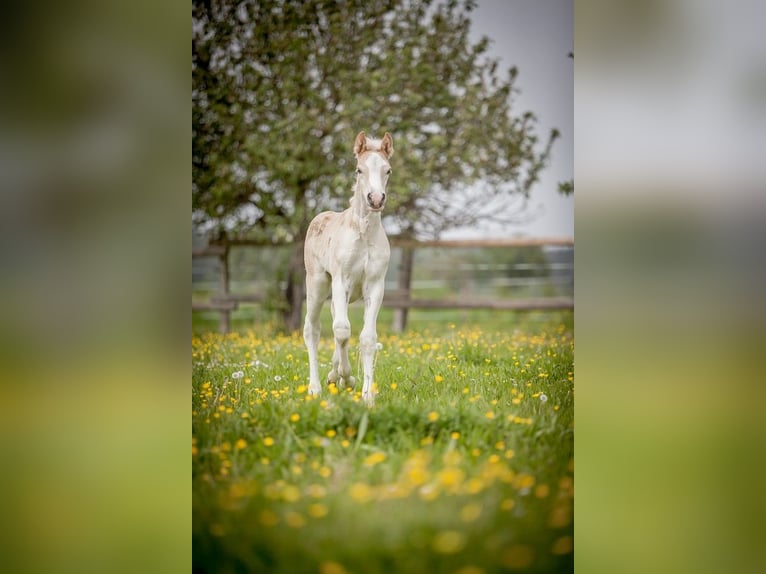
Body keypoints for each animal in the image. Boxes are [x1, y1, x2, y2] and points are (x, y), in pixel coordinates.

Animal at [304, 130, 396, 404]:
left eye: (387, 170)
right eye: (359, 169)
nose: (375, 199)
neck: (363, 235)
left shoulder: (375, 286)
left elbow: (367, 338)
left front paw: (367, 395)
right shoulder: (341, 282)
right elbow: (343, 331)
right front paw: (346, 377)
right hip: (317, 285)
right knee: (313, 330)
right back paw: (315, 387)